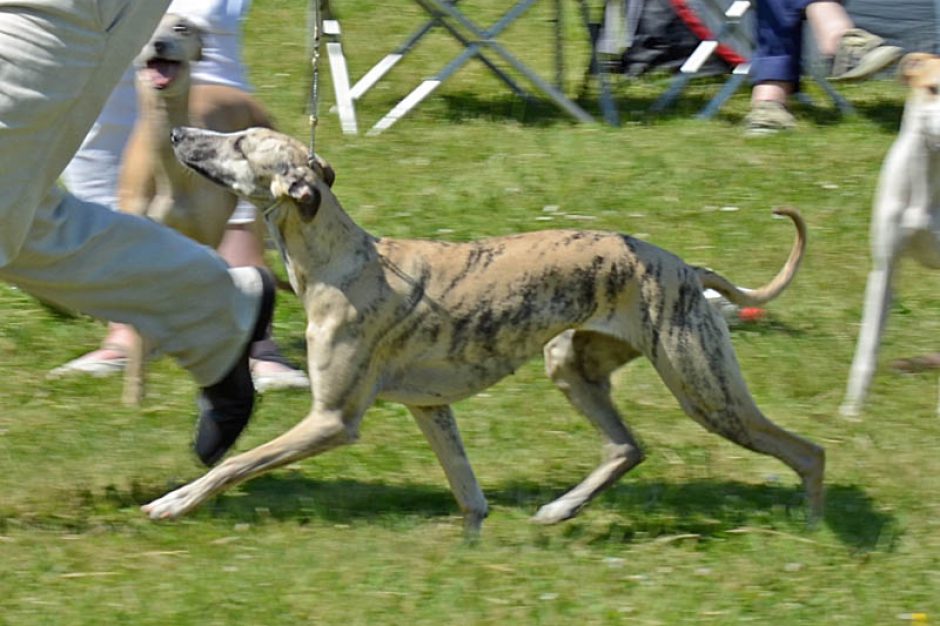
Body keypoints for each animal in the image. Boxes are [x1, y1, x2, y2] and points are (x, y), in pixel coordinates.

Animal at [143, 125, 828, 532]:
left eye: (239, 144)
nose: (177, 131)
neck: (344, 263)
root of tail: (685, 267)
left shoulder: (333, 420)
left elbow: (237, 463)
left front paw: (172, 502)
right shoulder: (430, 407)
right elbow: (471, 497)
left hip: (706, 391)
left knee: (808, 451)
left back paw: (814, 526)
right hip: (571, 363)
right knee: (627, 448)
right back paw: (558, 510)